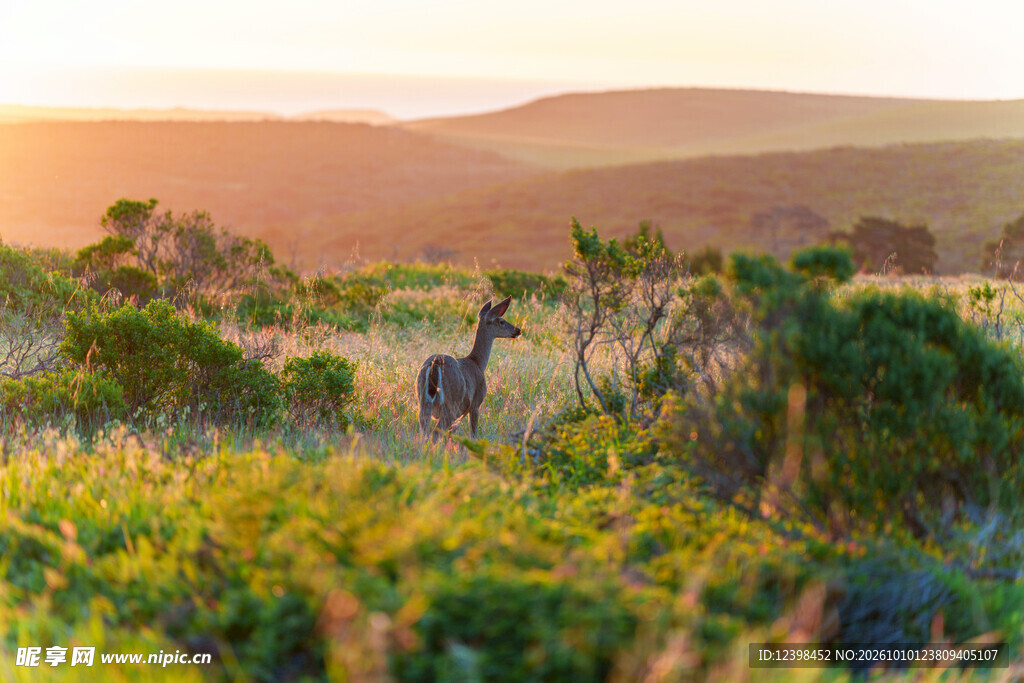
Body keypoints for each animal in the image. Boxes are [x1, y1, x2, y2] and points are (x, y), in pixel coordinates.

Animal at [417, 295, 521, 439]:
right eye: (501, 321)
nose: (518, 330)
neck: (477, 363)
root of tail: (435, 365)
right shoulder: (476, 404)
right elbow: (473, 434)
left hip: (423, 400)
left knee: (424, 431)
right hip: (450, 404)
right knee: (435, 433)